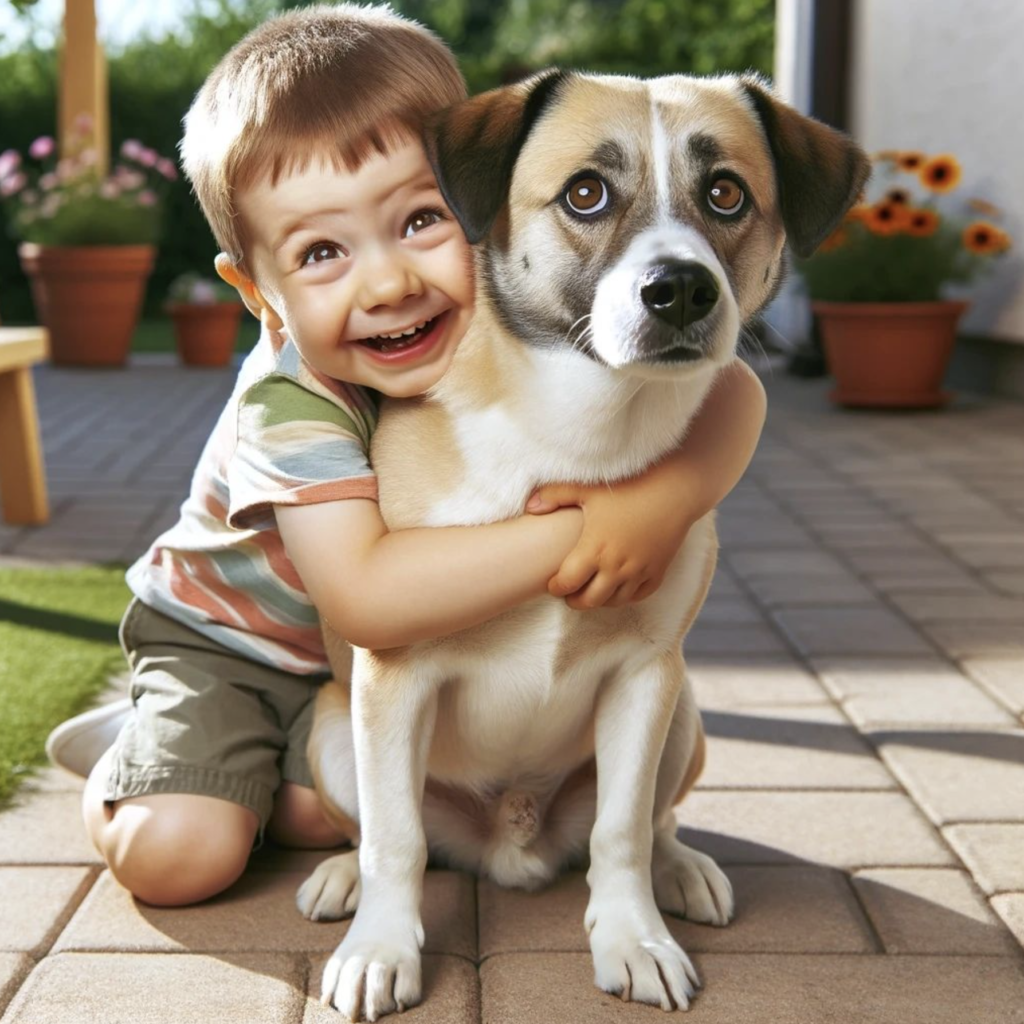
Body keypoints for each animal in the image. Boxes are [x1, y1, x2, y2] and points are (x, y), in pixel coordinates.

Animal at [299, 68, 868, 1019]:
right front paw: (380, 949)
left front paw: (634, 939)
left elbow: (622, 830)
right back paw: (342, 878)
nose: (680, 290)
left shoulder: (644, 676)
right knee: (377, 828)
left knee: (654, 821)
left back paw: (682, 871)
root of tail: (510, 842)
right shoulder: (394, 679)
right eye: (586, 193)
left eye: (727, 194)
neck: (577, 437)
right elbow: (397, 839)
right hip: (334, 729)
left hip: (684, 715)